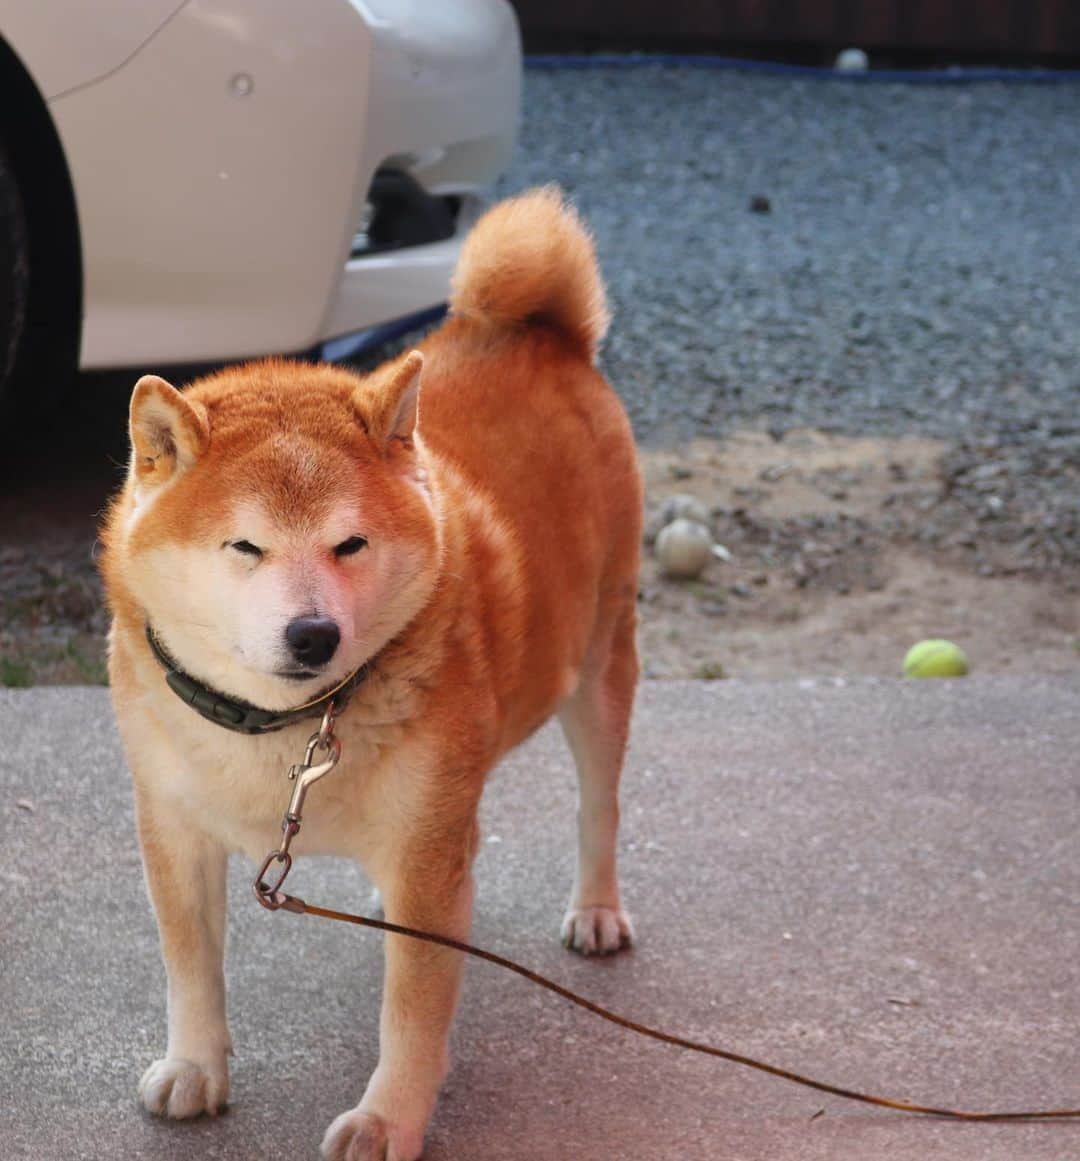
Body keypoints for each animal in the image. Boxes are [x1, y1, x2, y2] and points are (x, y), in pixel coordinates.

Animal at [101, 185, 641, 1156]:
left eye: (349, 544)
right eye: (245, 545)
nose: (313, 633)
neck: (284, 728)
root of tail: (533, 332)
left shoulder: (428, 853)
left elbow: (413, 1013)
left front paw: (391, 1116)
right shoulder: (173, 825)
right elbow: (191, 967)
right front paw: (197, 1066)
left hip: (598, 669)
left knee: (599, 805)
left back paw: (597, 907)